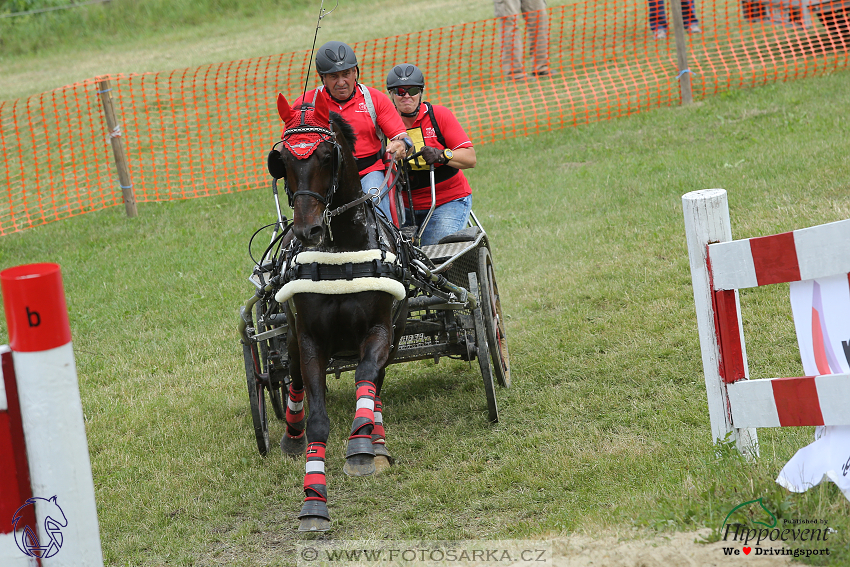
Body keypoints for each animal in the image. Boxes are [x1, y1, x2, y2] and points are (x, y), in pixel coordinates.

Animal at [268, 92, 408, 532]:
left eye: (327, 155)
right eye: (282, 159)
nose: (307, 230)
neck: (343, 250)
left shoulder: (381, 329)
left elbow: (367, 376)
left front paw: (362, 445)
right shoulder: (311, 337)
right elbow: (317, 416)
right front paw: (314, 502)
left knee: (373, 379)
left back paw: (375, 439)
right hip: (292, 333)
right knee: (294, 377)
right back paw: (292, 433)